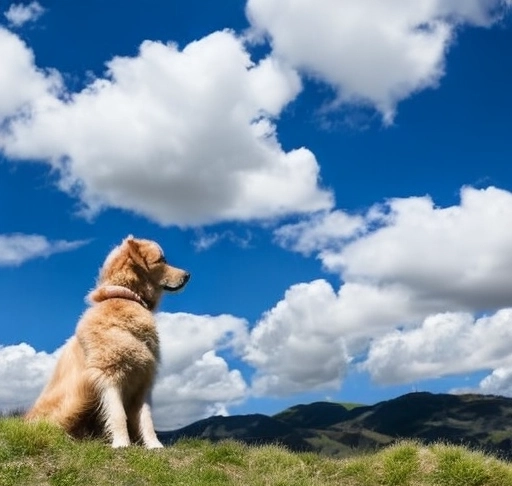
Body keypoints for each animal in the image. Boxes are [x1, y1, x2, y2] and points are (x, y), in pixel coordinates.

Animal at [24, 235, 190, 448]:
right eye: (162, 260)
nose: (188, 275)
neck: (126, 297)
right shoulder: (109, 374)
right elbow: (118, 415)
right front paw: (122, 444)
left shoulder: (143, 381)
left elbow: (146, 419)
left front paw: (154, 446)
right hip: (72, 402)